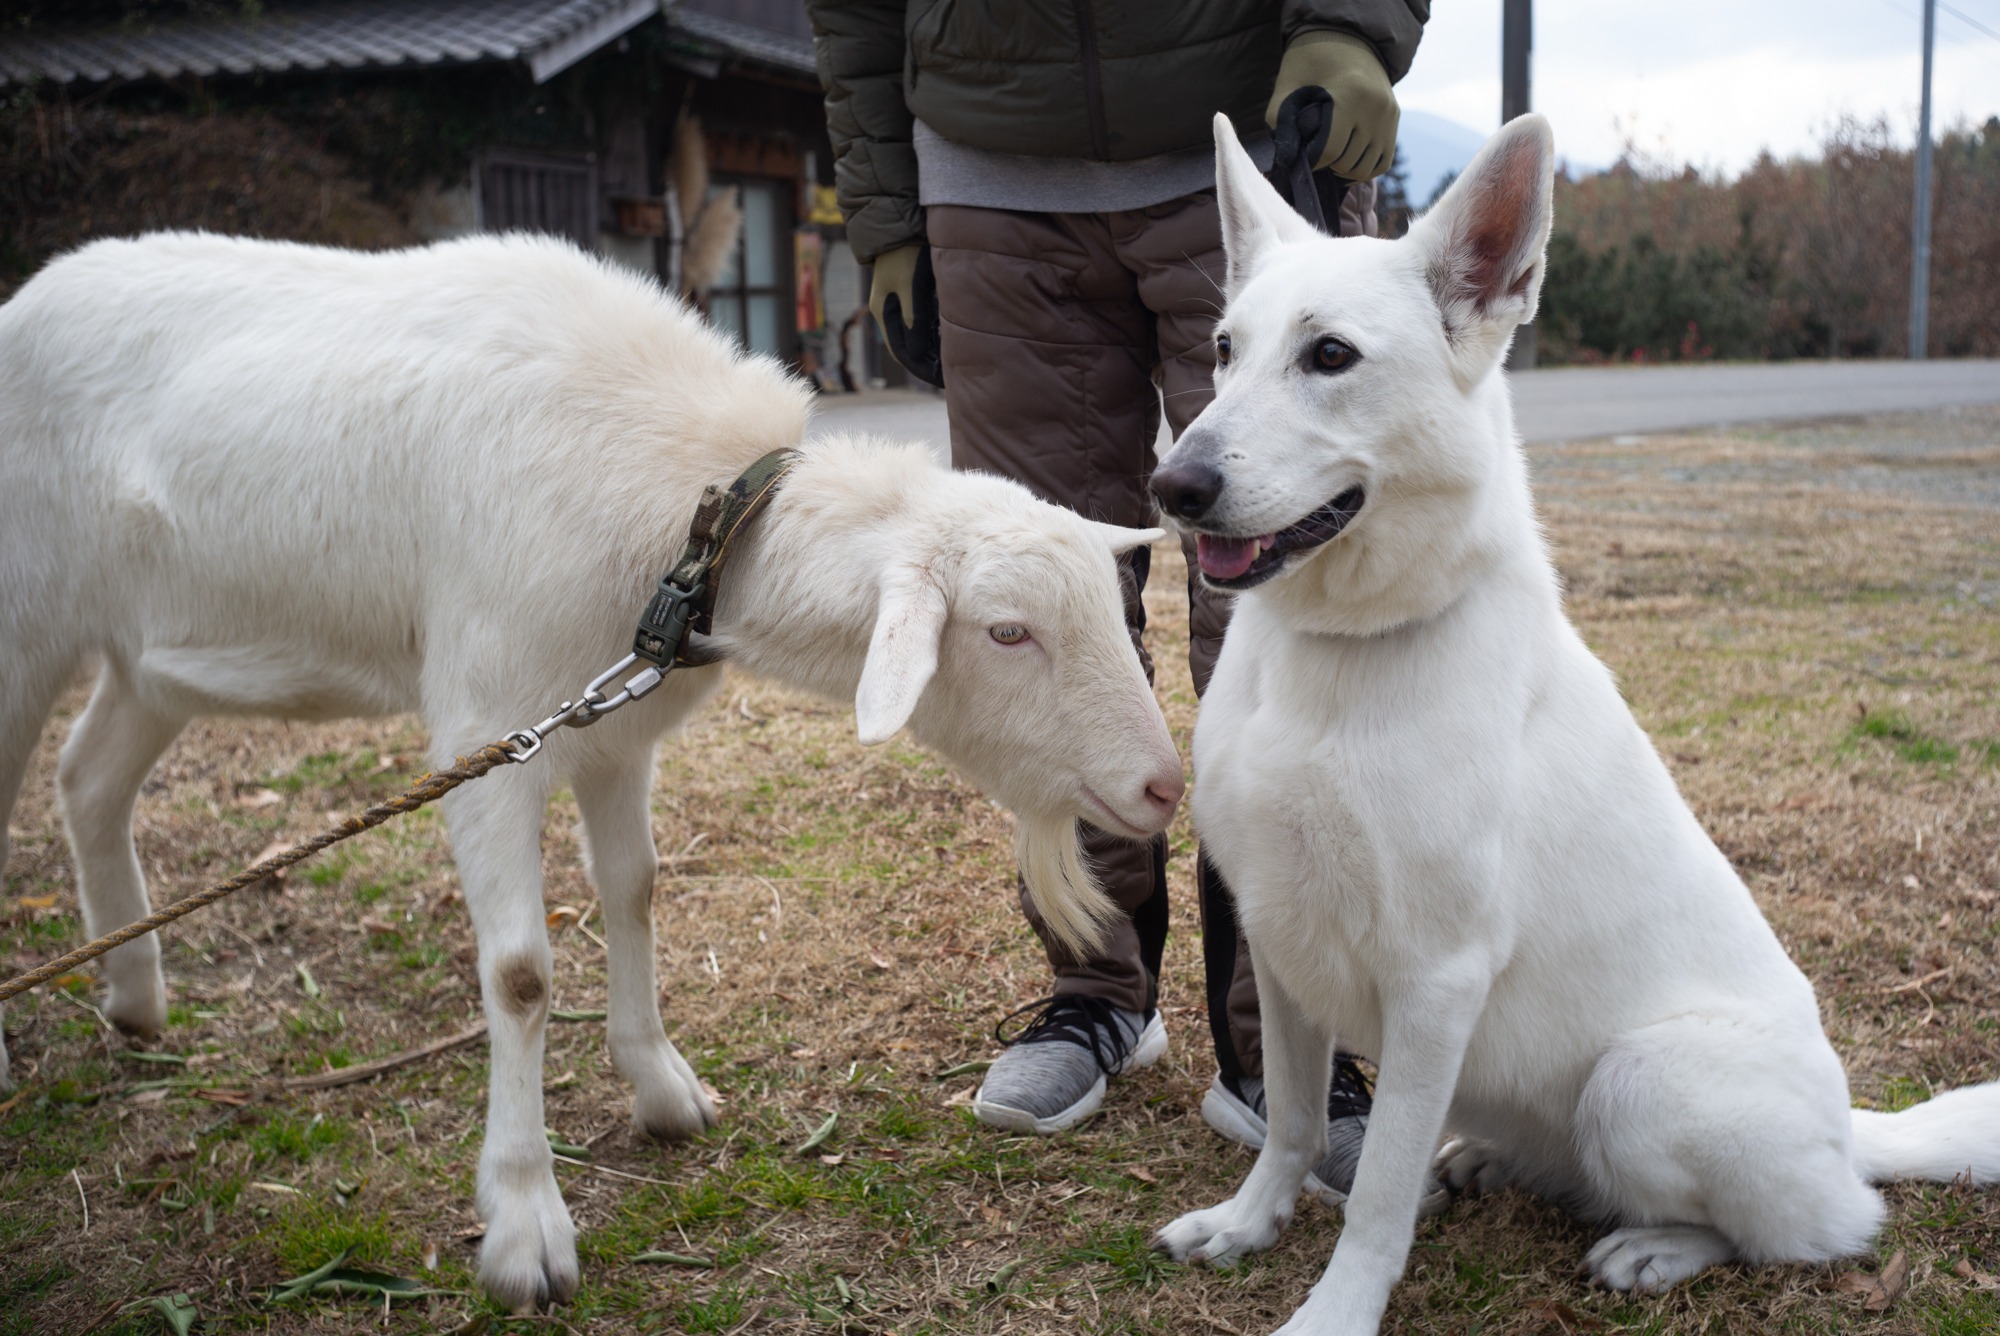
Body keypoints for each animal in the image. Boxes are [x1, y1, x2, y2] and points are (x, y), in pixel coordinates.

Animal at [0, 230, 1176, 1304]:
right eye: (1008, 632)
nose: (1162, 784)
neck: (699, 523)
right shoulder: (486, 725)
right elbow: (520, 973)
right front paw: (526, 1221)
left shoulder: (612, 726)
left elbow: (636, 892)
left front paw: (661, 1090)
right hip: (27, 616)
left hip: (153, 652)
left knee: (88, 779)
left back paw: (134, 999)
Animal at [1144, 115, 2000, 1336]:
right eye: (1223, 349)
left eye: (1330, 358)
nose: (1172, 486)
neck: (1344, 650)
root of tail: (1852, 1133)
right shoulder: (1280, 940)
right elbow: (1298, 1125)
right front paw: (1249, 1223)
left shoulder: (1435, 981)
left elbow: (1376, 1191)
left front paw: (1338, 1308)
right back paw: (1488, 1161)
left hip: (1639, 1083)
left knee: (1815, 1231)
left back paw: (1658, 1246)